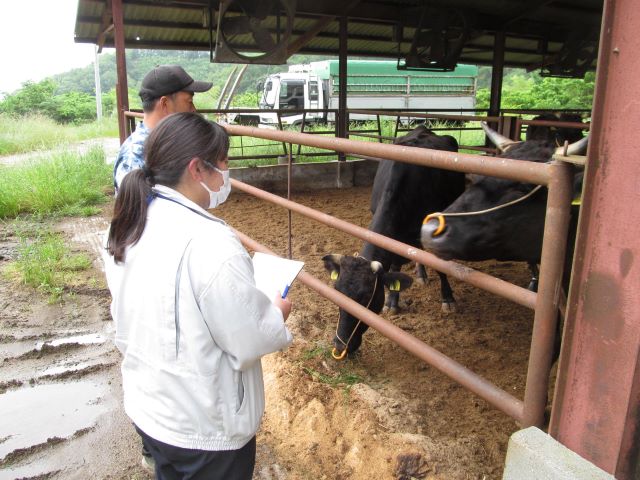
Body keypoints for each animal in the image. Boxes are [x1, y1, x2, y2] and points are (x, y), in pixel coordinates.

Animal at [324, 125, 464, 358]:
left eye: (365, 299)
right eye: (337, 293)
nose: (340, 346)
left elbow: (441, 267)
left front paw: (448, 299)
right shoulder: (393, 240)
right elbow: (396, 265)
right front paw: (392, 301)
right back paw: (420, 274)